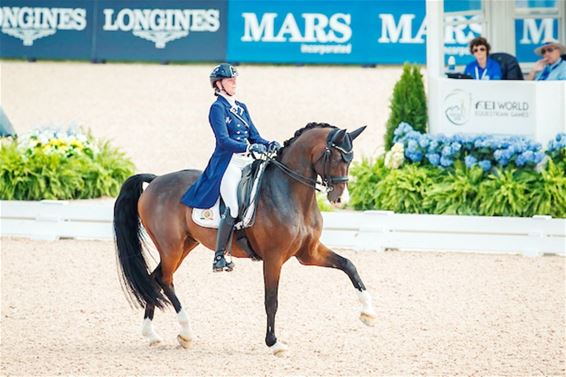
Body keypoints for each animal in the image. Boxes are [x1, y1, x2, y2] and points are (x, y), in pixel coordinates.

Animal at [113, 122, 378, 354]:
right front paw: (274, 343)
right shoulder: (273, 258)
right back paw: (186, 332)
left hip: (186, 245)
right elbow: (271, 300)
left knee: (154, 278)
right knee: (164, 279)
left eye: (350, 159)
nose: (339, 199)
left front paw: (368, 313)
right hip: (172, 246)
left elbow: (348, 265)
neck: (291, 193)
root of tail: (155, 180)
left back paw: (152, 334)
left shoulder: (308, 253)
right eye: (334, 157)